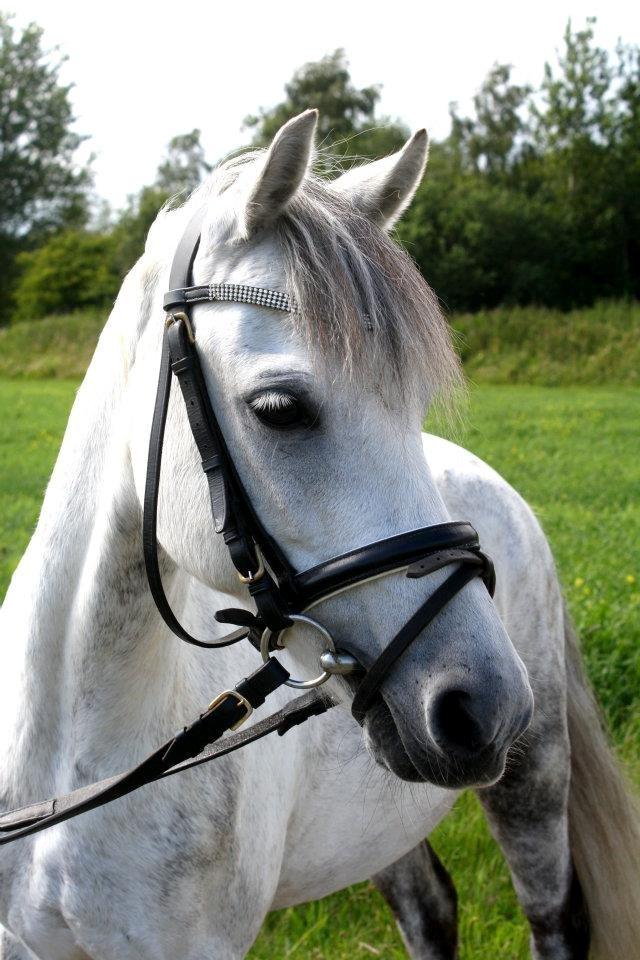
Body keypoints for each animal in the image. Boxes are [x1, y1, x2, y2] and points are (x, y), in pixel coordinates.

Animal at [0, 109, 638, 960]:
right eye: (279, 409)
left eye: (415, 403)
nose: (486, 704)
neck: (77, 753)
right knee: (430, 907)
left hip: (533, 781)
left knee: (554, 917)